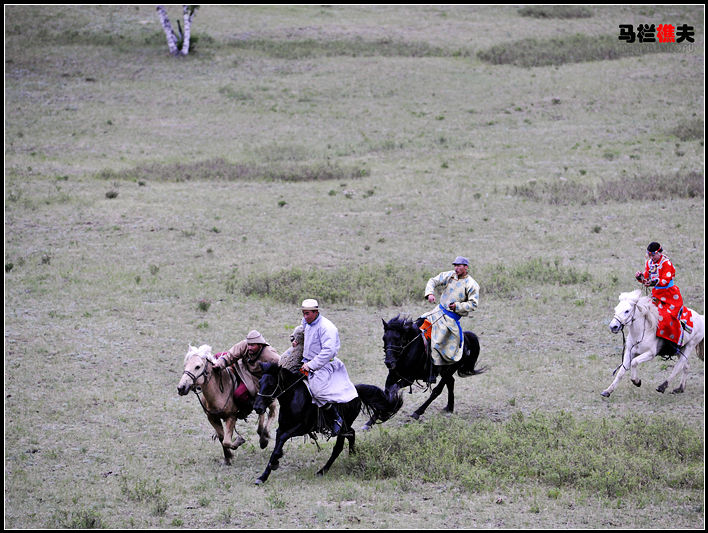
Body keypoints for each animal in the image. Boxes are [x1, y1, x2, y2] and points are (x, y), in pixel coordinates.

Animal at [252, 362, 402, 485]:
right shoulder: (282, 428)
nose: (257, 407)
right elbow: (277, 446)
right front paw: (264, 475)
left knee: (339, 446)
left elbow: (281, 441)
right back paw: (352, 456)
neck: (293, 399)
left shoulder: (301, 428)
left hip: (342, 427)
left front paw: (273, 464)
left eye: (271, 385)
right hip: (345, 427)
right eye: (260, 382)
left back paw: (323, 470)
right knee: (351, 434)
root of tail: (356, 392)